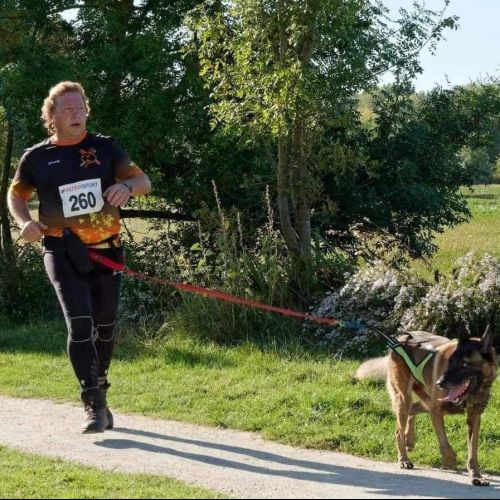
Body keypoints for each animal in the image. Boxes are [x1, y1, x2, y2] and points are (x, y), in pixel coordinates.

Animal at [355, 325, 497, 486]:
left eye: (464, 364)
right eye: (450, 362)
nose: (439, 383)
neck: (474, 390)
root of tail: (399, 340)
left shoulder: (474, 417)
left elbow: (473, 450)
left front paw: (475, 474)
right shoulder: (436, 410)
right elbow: (443, 441)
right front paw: (449, 460)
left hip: (423, 401)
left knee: (413, 409)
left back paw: (409, 439)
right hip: (404, 398)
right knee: (399, 431)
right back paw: (404, 458)